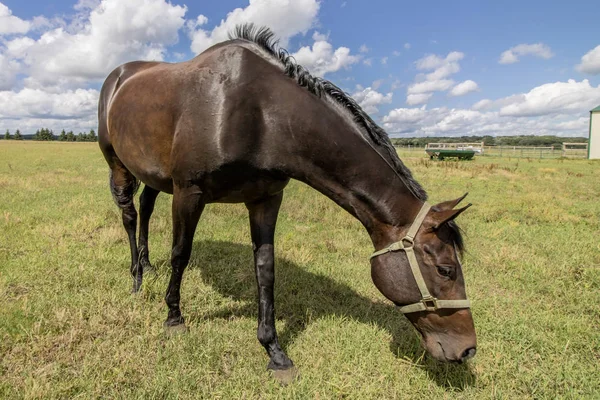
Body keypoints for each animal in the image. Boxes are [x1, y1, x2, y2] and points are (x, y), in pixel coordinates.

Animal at [98, 24, 478, 376]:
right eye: (445, 269)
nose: (467, 349)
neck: (260, 112)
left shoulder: (266, 199)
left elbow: (265, 269)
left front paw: (274, 350)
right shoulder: (189, 192)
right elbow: (181, 254)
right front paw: (174, 317)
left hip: (155, 176)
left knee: (146, 208)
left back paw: (148, 265)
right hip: (119, 165)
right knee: (130, 215)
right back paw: (136, 277)